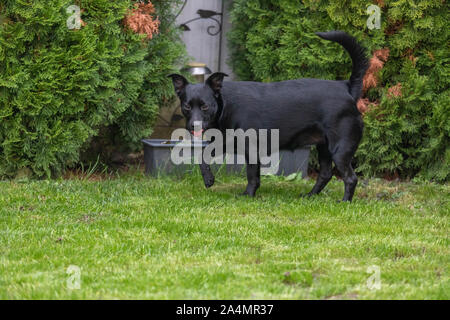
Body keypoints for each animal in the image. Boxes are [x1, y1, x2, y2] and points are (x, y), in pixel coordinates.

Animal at [171, 31, 368, 201]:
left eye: (205, 106)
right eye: (187, 106)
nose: (194, 126)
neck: (226, 105)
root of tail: (346, 87)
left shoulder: (251, 149)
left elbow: (252, 175)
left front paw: (248, 195)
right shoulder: (225, 142)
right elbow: (202, 156)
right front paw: (208, 179)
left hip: (340, 149)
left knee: (350, 178)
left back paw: (344, 202)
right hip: (324, 147)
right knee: (326, 174)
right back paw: (310, 196)